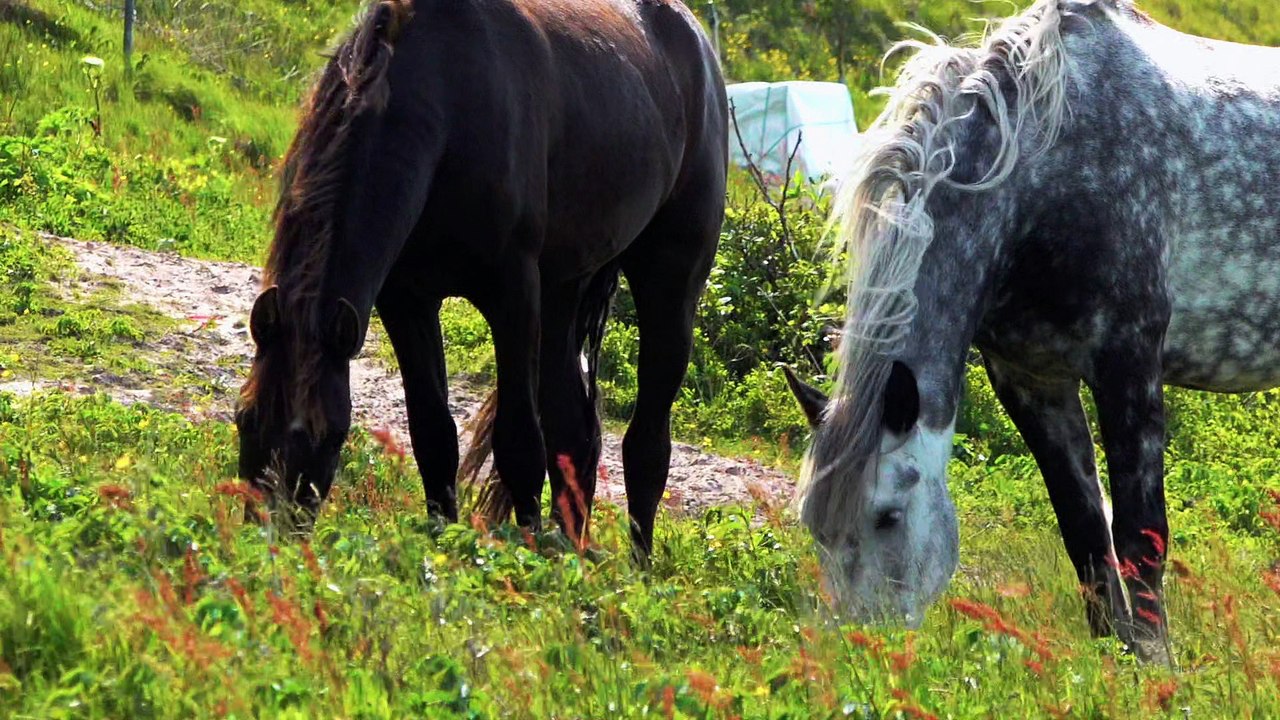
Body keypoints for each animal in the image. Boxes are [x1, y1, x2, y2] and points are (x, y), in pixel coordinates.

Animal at [234, 0, 727, 561]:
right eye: (245, 418)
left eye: (329, 435)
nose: (268, 540)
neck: (449, 105)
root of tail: (695, 40)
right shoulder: (407, 300)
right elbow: (433, 433)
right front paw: (443, 544)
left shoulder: (512, 294)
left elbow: (519, 442)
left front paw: (522, 557)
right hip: (565, 292)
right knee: (575, 434)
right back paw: (569, 550)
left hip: (669, 283)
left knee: (646, 445)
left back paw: (635, 567)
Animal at [782, 0, 1280, 662]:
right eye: (813, 524)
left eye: (888, 515)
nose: (861, 650)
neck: (1048, 170)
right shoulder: (1031, 380)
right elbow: (1085, 533)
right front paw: (1112, 661)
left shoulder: (1129, 364)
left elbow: (1140, 537)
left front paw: (1157, 665)